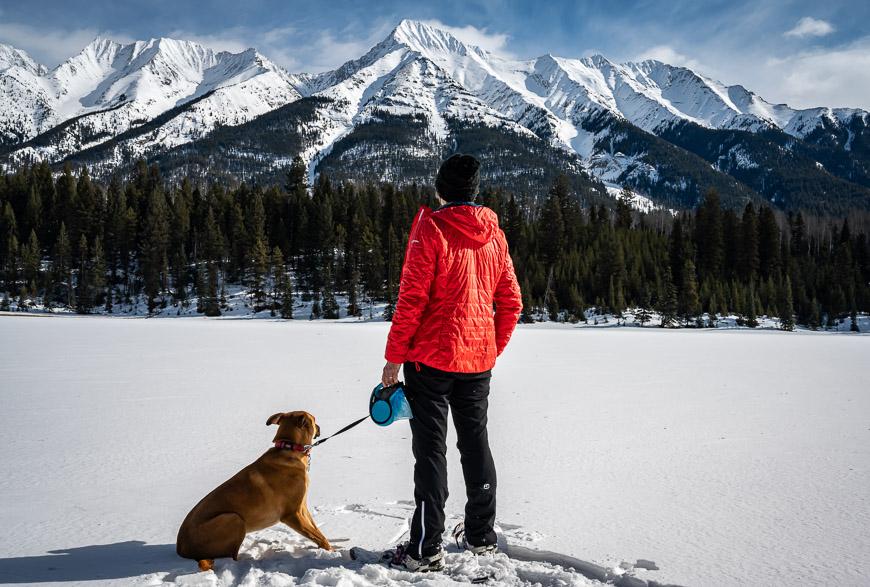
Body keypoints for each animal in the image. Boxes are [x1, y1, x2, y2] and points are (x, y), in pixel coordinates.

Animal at [175, 412, 332, 572]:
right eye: (314, 420)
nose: (319, 427)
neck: (289, 447)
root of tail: (181, 549)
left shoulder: (302, 508)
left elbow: (318, 532)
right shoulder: (292, 514)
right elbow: (318, 537)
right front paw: (331, 552)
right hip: (233, 518)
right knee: (231, 557)